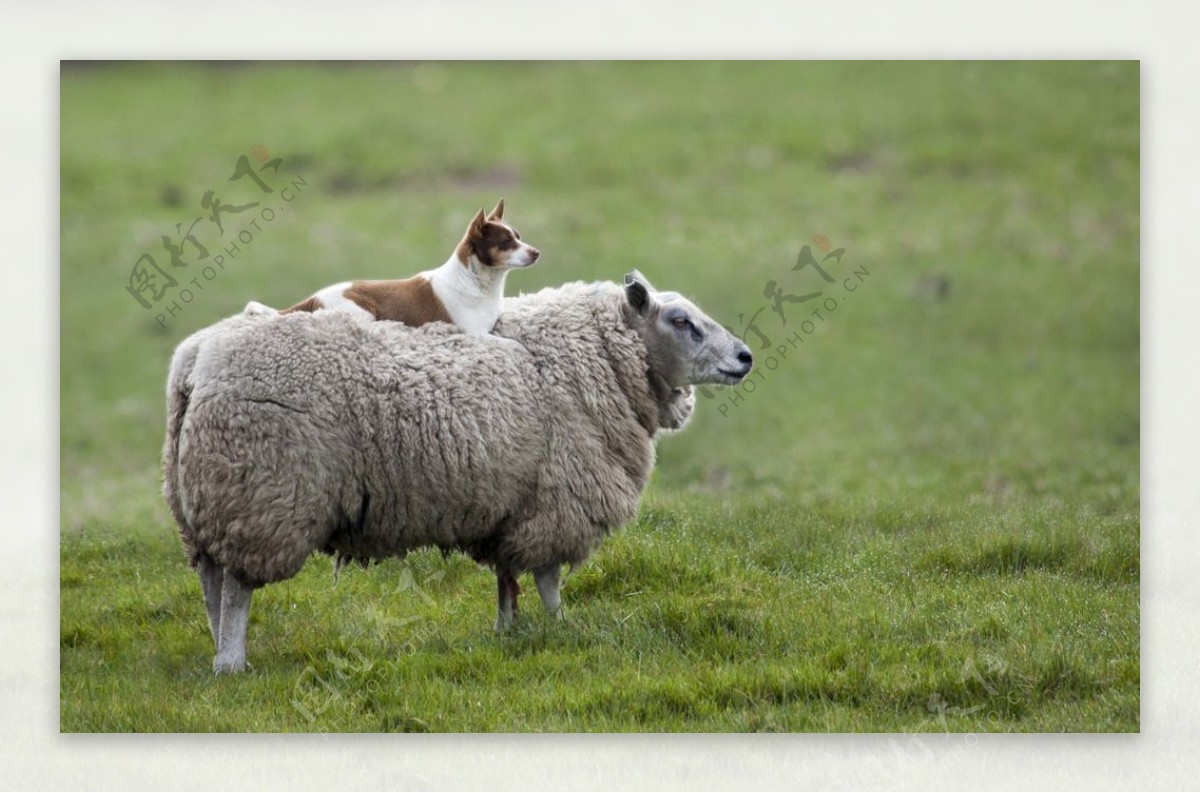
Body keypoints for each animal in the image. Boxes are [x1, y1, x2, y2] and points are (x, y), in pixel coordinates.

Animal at [164, 268, 753, 671]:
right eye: (681, 321)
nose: (745, 357)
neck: (596, 359)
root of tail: (197, 360)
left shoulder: (511, 506)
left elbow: (506, 578)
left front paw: (507, 633)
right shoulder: (558, 500)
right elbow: (547, 578)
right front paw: (561, 628)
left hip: (203, 497)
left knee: (211, 579)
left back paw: (219, 648)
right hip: (259, 493)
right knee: (236, 585)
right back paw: (232, 662)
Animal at [243, 199, 540, 335]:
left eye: (519, 236)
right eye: (506, 242)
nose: (537, 253)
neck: (477, 282)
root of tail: (314, 297)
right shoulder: (475, 334)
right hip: (362, 315)